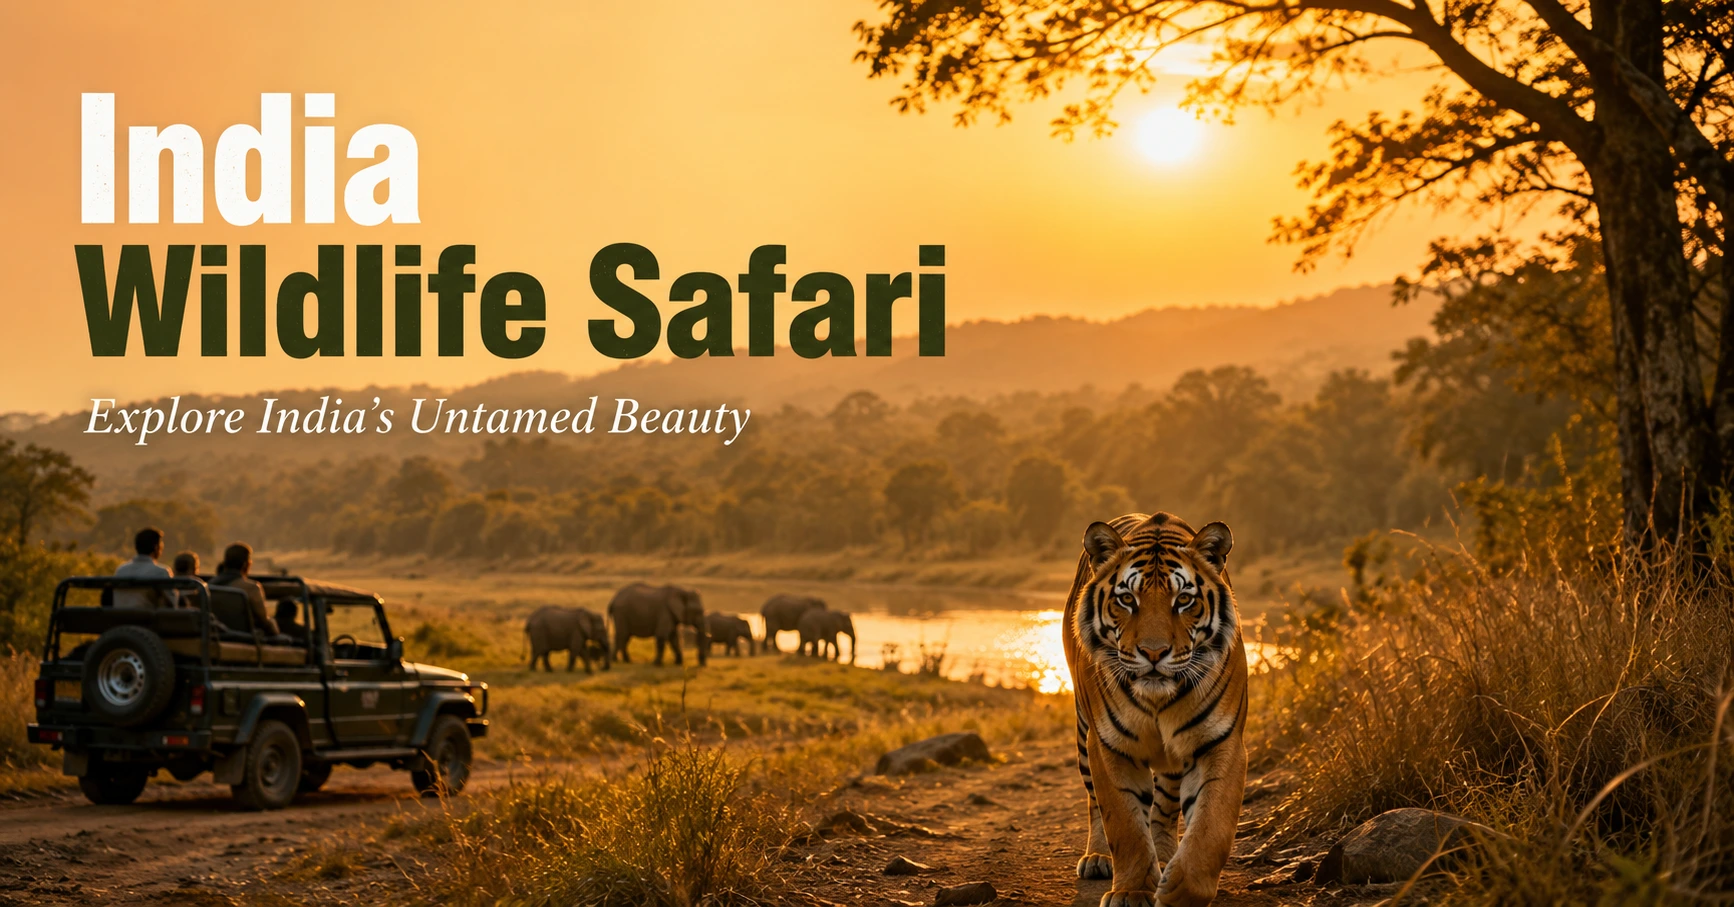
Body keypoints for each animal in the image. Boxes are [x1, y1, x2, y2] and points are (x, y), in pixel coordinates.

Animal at [1063, 512, 1248, 907]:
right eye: (1127, 599)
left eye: (1184, 600)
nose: (1153, 652)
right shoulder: (1110, 746)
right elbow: (1124, 824)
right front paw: (1131, 892)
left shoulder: (1220, 742)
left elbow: (1212, 825)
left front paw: (1180, 891)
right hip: (1084, 734)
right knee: (1095, 803)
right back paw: (1098, 857)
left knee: (1163, 810)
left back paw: (1165, 858)